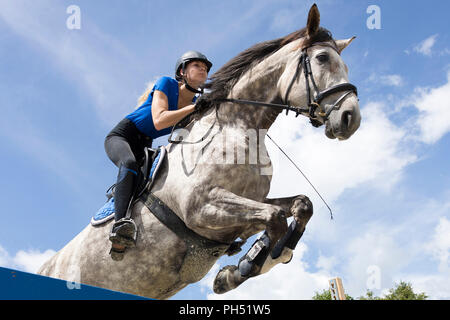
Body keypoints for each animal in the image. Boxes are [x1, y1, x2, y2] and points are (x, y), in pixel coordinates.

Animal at [38, 4, 362, 300]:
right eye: (322, 58)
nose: (351, 118)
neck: (236, 127)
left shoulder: (247, 205)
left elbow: (300, 206)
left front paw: (249, 265)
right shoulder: (202, 207)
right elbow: (274, 218)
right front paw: (239, 271)